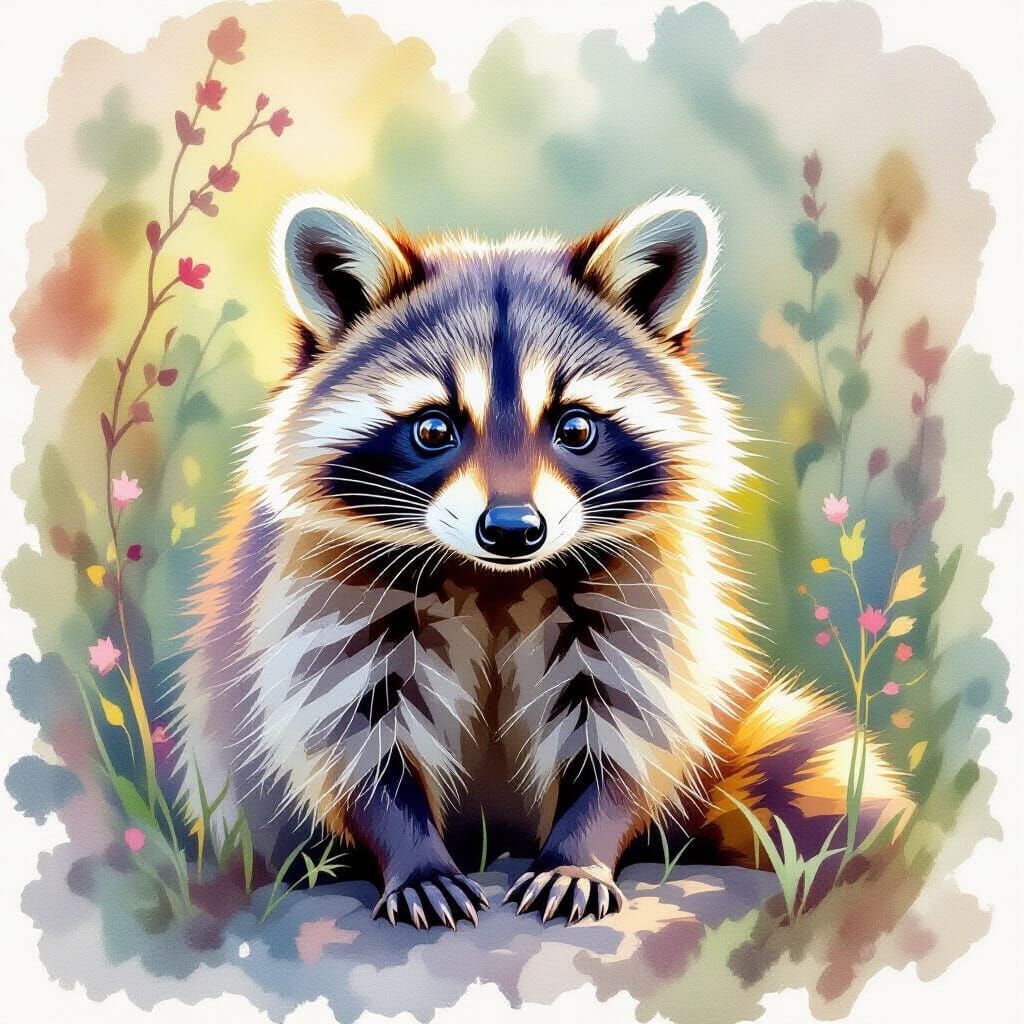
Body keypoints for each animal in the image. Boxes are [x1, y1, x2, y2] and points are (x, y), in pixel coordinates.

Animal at [172, 192, 911, 929]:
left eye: (575, 426)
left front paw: (579, 853)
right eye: (434, 428)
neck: (493, 578)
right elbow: (354, 733)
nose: (511, 529)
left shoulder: (642, 590)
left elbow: (627, 728)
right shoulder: (328, 589)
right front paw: (413, 856)